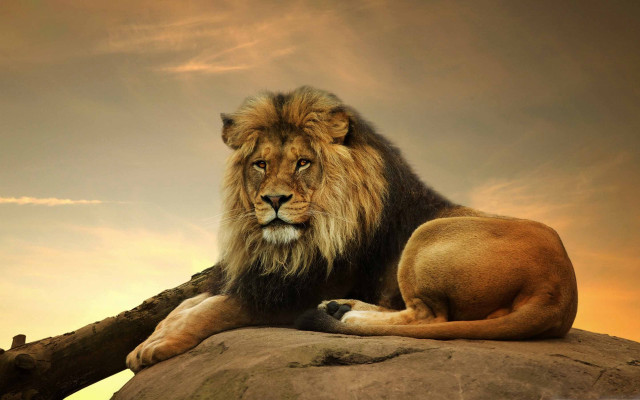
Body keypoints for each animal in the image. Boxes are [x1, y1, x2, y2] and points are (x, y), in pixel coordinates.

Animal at [126, 86, 578, 372]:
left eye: (302, 163)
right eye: (260, 164)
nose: (274, 200)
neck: (289, 246)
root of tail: (560, 290)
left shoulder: (291, 293)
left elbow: (214, 309)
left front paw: (157, 347)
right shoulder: (261, 278)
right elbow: (188, 304)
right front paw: (151, 338)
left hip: (426, 237)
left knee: (428, 316)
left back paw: (344, 314)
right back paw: (342, 309)